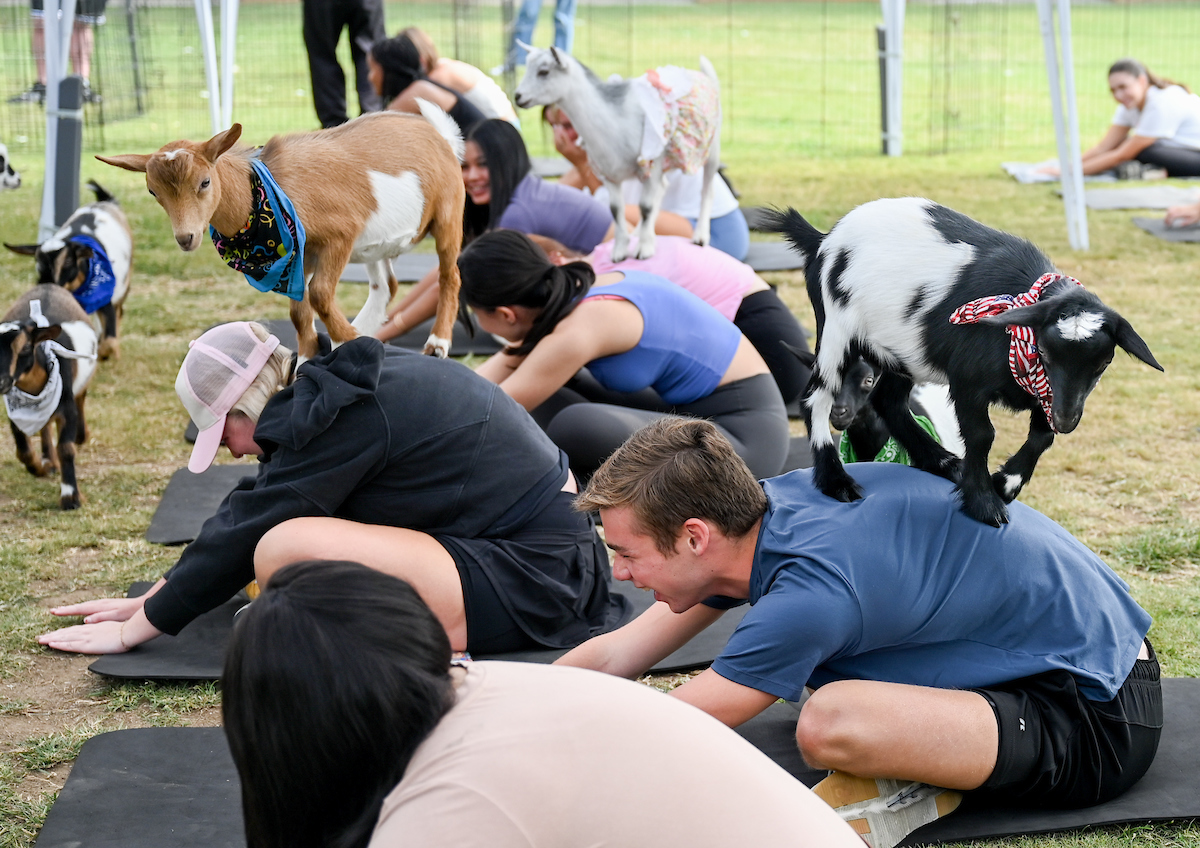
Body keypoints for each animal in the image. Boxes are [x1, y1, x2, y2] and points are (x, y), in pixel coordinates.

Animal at [1, 285, 99, 510]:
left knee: (81, 399)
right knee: (45, 425)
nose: (1, 381)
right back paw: (48, 461)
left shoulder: (67, 408)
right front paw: (39, 468)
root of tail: (48, 286)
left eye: (25, 347)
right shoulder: (15, 412)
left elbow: (66, 448)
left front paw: (70, 497)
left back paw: (81, 434)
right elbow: (23, 452)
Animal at [5, 180, 133, 360]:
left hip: (122, 286)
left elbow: (109, 340)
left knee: (119, 312)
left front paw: (104, 353)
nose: (46, 284)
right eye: (38, 262)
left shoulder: (104, 299)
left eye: (67, 262)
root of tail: (106, 202)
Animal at [96, 106, 465, 360]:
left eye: (204, 182)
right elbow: (298, 312)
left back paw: (437, 343)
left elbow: (318, 295)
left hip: (448, 213)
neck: (269, 187)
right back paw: (367, 327)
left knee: (450, 274)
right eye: (153, 192)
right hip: (373, 245)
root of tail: (440, 135)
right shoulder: (301, 256)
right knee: (385, 285)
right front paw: (308, 360)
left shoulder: (339, 236)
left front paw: (348, 340)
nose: (186, 237)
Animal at [514, 46, 721, 263]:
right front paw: (620, 251)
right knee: (663, 187)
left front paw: (644, 249)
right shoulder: (609, 173)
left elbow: (645, 206)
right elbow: (615, 209)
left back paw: (700, 236)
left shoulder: (651, 164)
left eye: (543, 72)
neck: (615, 122)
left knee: (707, 190)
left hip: (711, 148)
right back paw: (640, 232)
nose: (518, 96)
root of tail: (702, 75)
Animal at [766, 197, 1162, 526]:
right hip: (836, 329)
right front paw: (984, 501)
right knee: (816, 398)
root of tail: (821, 239)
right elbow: (983, 435)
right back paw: (836, 481)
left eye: (1103, 364)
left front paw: (1005, 484)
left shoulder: (1047, 393)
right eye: (1046, 353)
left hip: (901, 350)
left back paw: (940, 461)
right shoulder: (969, 381)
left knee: (889, 401)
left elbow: (1042, 435)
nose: (1068, 421)